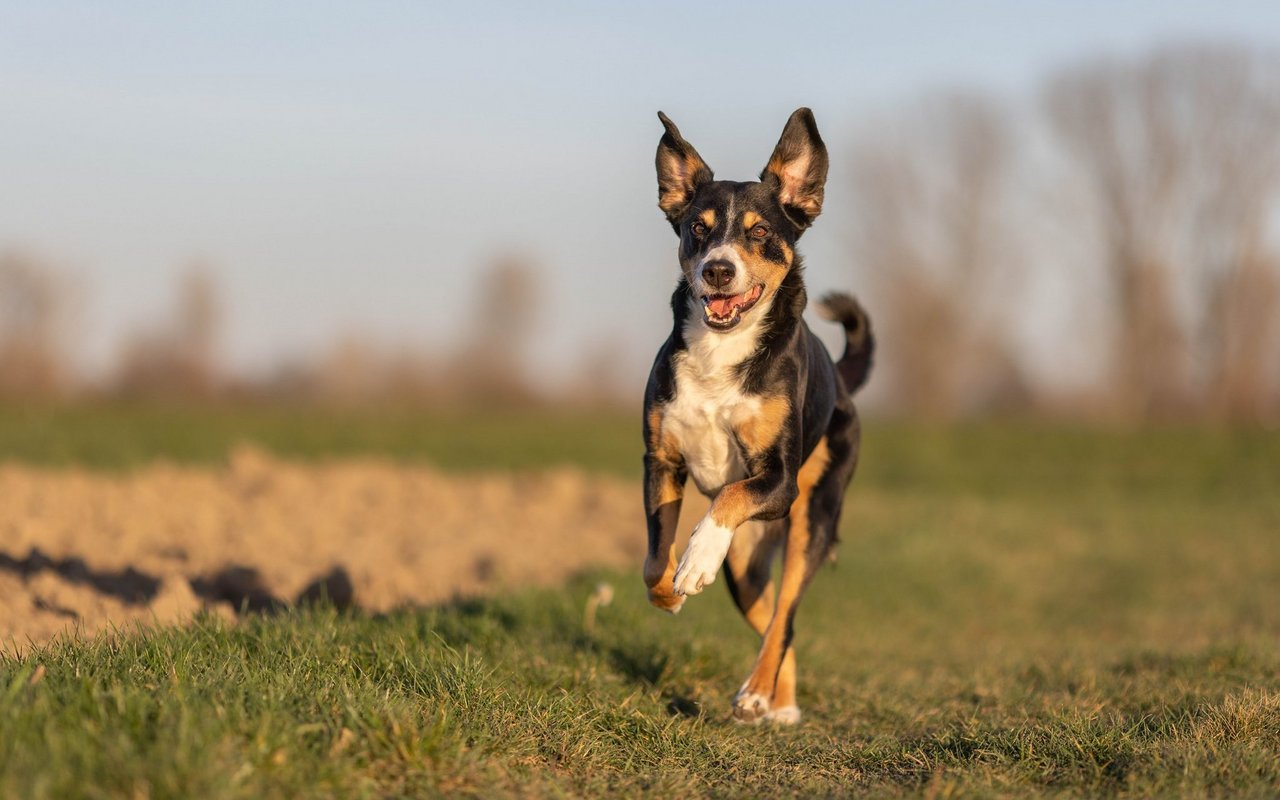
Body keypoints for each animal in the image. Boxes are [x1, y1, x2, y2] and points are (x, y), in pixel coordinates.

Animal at [645, 106, 875, 721]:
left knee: (786, 616)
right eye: (697, 229)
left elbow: (727, 497)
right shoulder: (661, 461)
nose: (718, 271)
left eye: (760, 232)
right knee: (773, 615)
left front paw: (696, 556)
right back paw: (777, 700)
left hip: (811, 519)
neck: (720, 353)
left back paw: (758, 695)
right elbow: (653, 562)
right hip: (746, 569)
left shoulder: (777, 479)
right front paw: (670, 593)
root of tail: (842, 385)